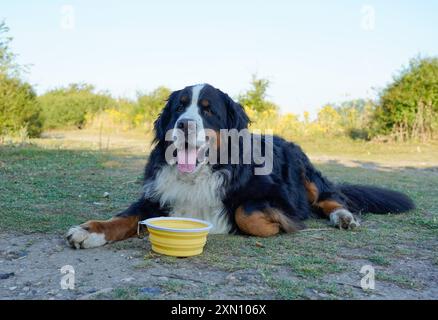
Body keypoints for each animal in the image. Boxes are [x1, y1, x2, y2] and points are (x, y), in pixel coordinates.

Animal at [66, 84, 416, 249]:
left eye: (208, 111)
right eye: (179, 107)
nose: (183, 125)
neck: (202, 173)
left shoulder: (278, 197)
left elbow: (245, 213)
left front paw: (276, 225)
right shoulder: (158, 195)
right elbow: (123, 217)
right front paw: (90, 231)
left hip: (304, 171)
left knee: (330, 197)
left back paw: (343, 216)